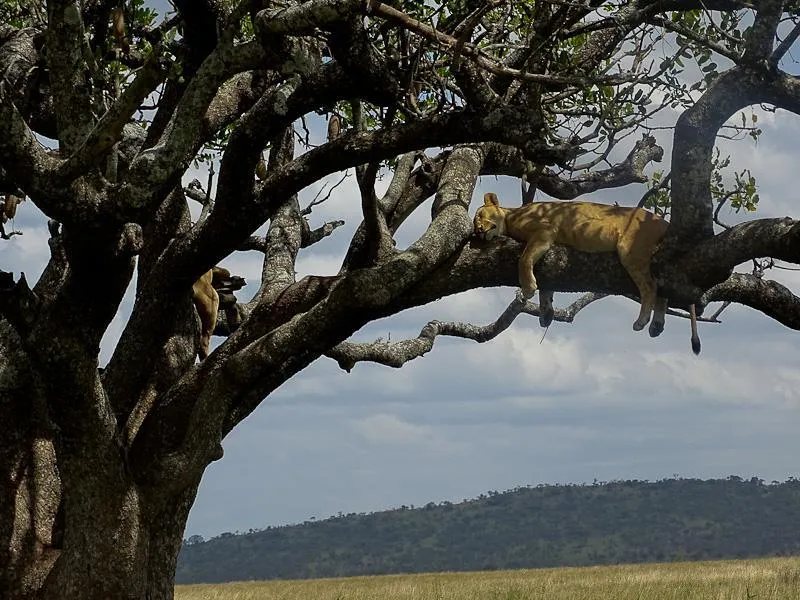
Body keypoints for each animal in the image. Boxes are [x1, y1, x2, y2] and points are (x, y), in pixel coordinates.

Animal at [473, 192, 700, 354]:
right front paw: (546, 313)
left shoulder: (545, 231)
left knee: (650, 287)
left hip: (631, 249)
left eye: (480, 216)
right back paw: (657, 325)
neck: (510, 216)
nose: (478, 231)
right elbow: (547, 286)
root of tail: (664, 222)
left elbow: (524, 259)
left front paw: (528, 288)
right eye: (475, 223)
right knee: (662, 290)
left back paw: (642, 321)